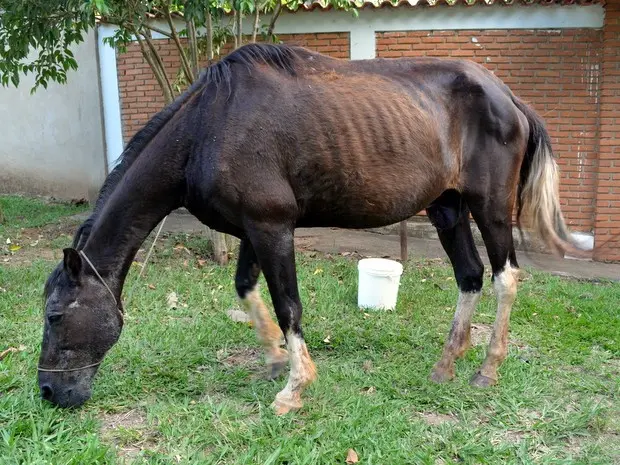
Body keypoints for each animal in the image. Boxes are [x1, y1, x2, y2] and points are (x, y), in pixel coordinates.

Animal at [38, 43, 580, 414]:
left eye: (55, 315)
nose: (47, 391)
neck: (208, 127)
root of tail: (508, 96)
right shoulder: (252, 229)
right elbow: (245, 288)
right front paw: (276, 360)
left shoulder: (273, 227)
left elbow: (289, 306)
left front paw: (295, 386)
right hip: (446, 209)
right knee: (469, 276)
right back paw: (446, 364)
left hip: (490, 208)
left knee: (505, 277)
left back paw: (487, 368)